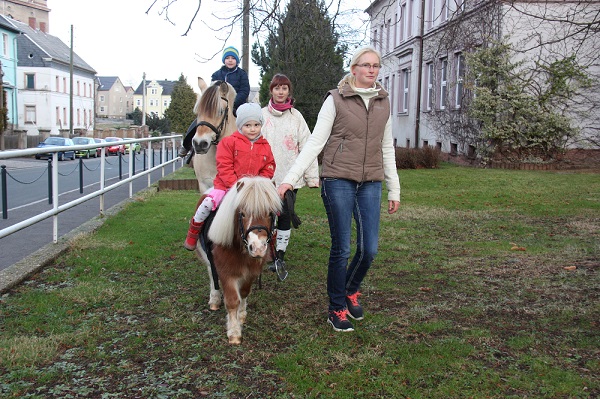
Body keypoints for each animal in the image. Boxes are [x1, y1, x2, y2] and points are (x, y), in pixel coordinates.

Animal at [196, 177, 282, 346]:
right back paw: (214, 300)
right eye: (242, 214)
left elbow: (243, 293)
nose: (257, 248)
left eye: (270, 213)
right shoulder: (226, 273)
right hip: (208, 260)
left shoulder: (250, 273)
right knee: (212, 276)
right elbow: (232, 301)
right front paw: (234, 333)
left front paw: (241, 315)